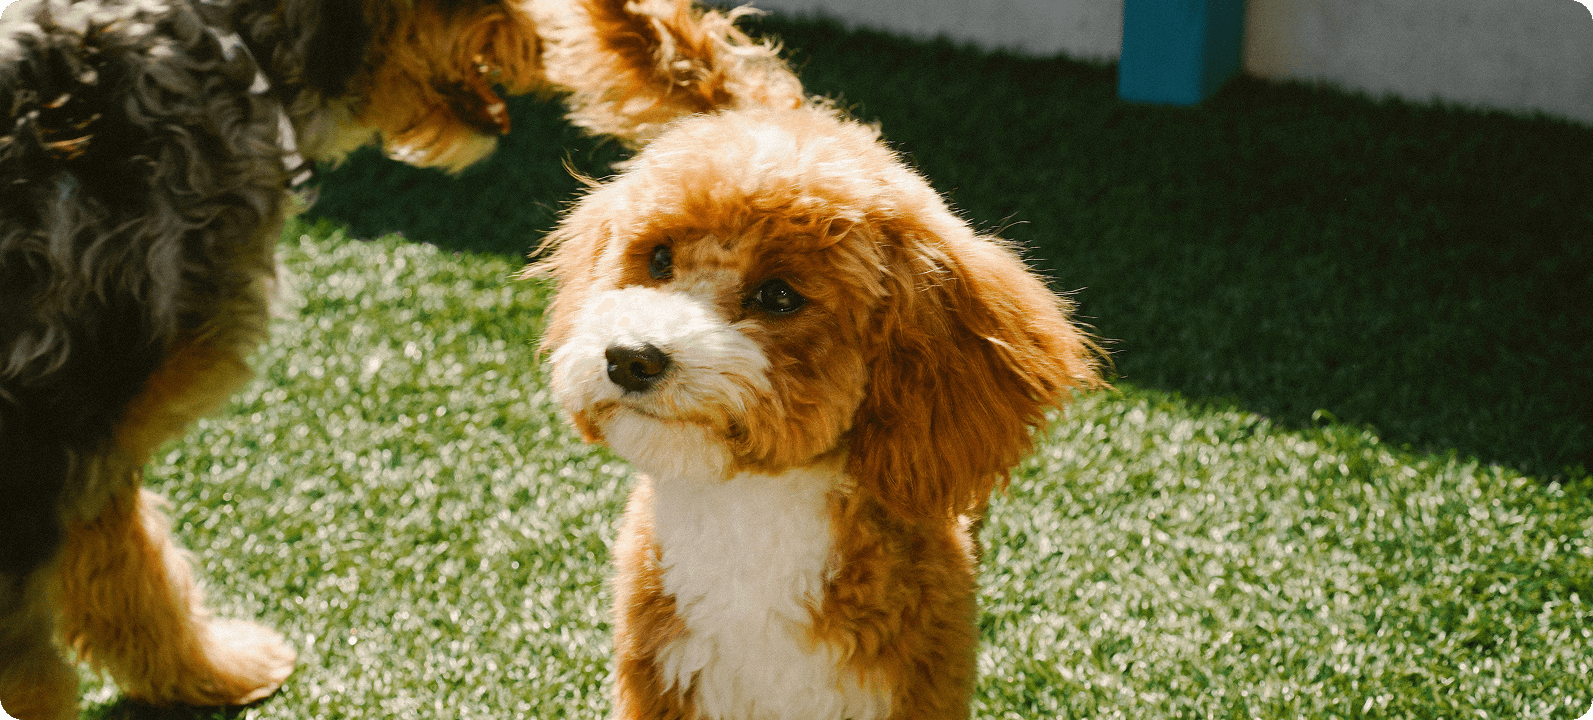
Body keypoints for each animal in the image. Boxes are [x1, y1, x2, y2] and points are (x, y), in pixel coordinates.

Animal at [0, 0, 550, 716]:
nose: (556, 43)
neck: (235, 53)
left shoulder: (89, 436)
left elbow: (136, 574)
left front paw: (205, 669)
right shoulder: (61, 426)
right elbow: (52, 647)